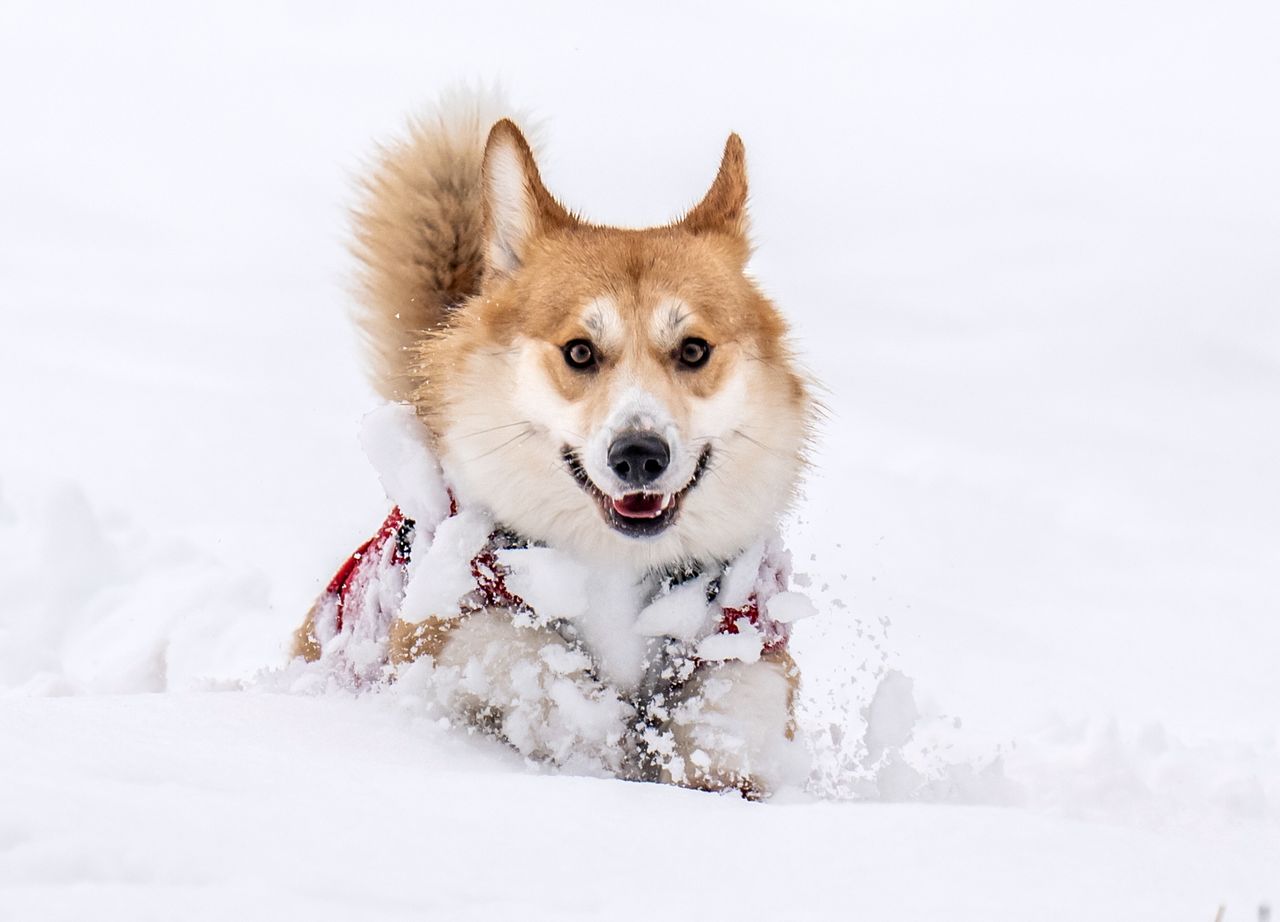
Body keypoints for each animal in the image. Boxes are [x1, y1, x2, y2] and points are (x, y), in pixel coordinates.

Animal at [294, 95, 814, 799]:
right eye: (579, 352)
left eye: (693, 350)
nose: (639, 455)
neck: (616, 567)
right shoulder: (446, 621)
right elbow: (521, 656)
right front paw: (592, 726)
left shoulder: (747, 638)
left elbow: (727, 719)